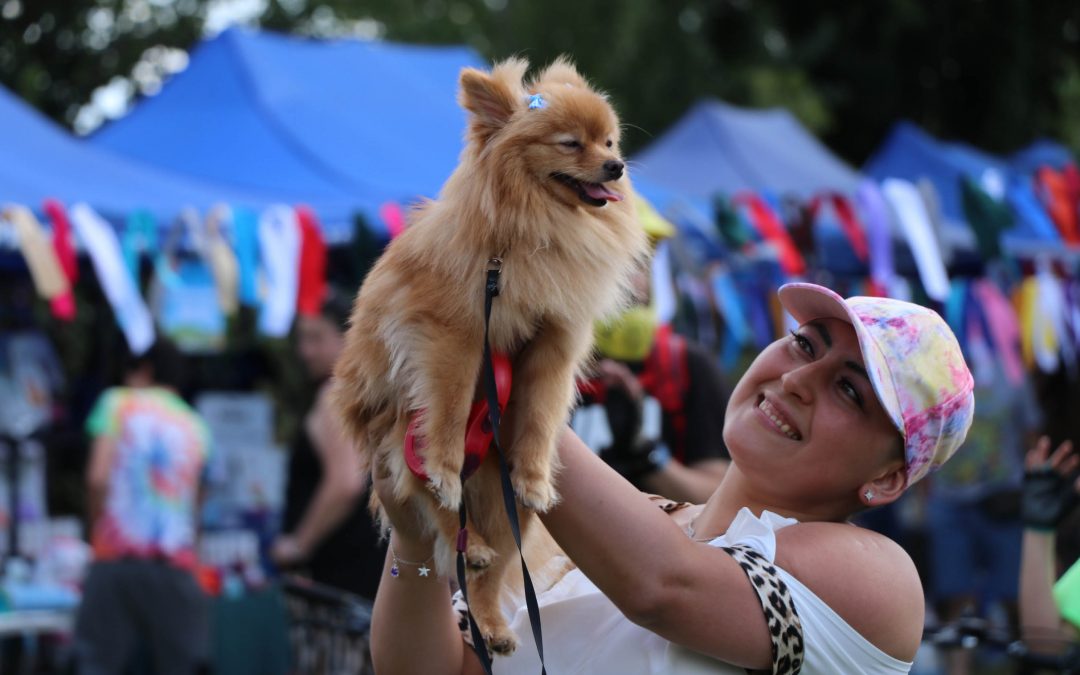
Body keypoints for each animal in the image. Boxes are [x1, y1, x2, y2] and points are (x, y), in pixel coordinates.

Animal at [332, 57, 643, 652]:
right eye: (572, 144)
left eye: (610, 141)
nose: (616, 166)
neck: (533, 229)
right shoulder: (454, 336)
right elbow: (450, 412)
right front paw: (445, 466)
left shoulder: (553, 339)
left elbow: (541, 412)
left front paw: (536, 476)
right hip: (399, 431)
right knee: (434, 505)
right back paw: (464, 530)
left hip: (503, 506)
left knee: (491, 571)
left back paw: (493, 624)